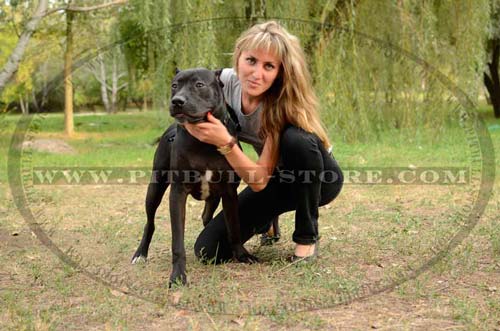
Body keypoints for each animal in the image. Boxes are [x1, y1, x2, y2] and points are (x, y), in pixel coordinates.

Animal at [132, 68, 258, 286]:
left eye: (199, 85)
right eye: (174, 85)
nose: (177, 101)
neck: (203, 141)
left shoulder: (229, 192)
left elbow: (234, 226)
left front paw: (242, 255)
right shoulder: (178, 193)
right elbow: (177, 240)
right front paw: (178, 274)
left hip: (214, 196)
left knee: (206, 216)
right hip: (155, 188)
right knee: (150, 222)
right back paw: (140, 253)